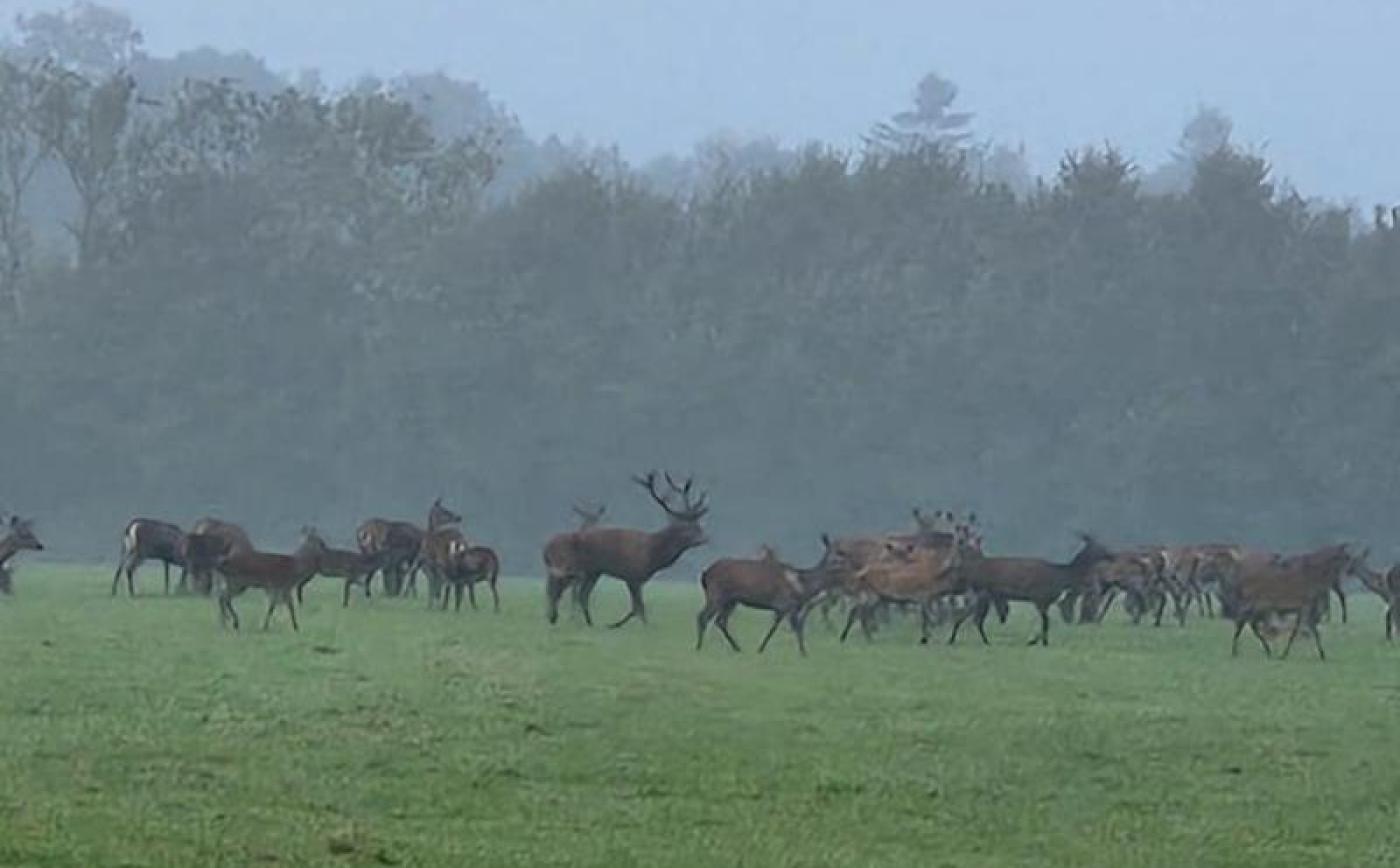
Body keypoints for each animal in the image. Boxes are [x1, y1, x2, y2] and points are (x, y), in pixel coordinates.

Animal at [537, 470, 705, 627]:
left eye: (699, 526)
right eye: (688, 529)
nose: (704, 538)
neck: (652, 555)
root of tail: (546, 546)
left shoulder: (635, 578)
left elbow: (636, 607)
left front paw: (615, 625)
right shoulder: (633, 575)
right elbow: (639, 607)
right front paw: (642, 627)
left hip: (592, 572)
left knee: (580, 595)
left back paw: (587, 623)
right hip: (567, 565)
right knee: (556, 588)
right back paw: (555, 617)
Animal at [691, 540, 834, 655]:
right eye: (836, 557)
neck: (804, 587)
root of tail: (705, 574)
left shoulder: (781, 609)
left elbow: (774, 628)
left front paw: (761, 648)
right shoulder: (787, 604)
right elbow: (797, 628)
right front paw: (804, 652)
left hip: (731, 601)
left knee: (720, 621)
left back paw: (737, 648)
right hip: (717, 594)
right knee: (703, 616)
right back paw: (699, 647)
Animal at [946, 532, 1120, 646]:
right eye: (1100, 547)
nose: (1113, 555)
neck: (1061, 577)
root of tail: (970, 570)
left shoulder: (1045, 601)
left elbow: (1046, 622)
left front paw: (1040, 641)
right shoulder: (1040, 597)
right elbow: (1046, 622)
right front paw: (1037, 641)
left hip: (983, 594)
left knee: (972, 617)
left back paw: (963, 640)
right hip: (981, 592)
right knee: (973, 617)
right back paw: (964, 639)